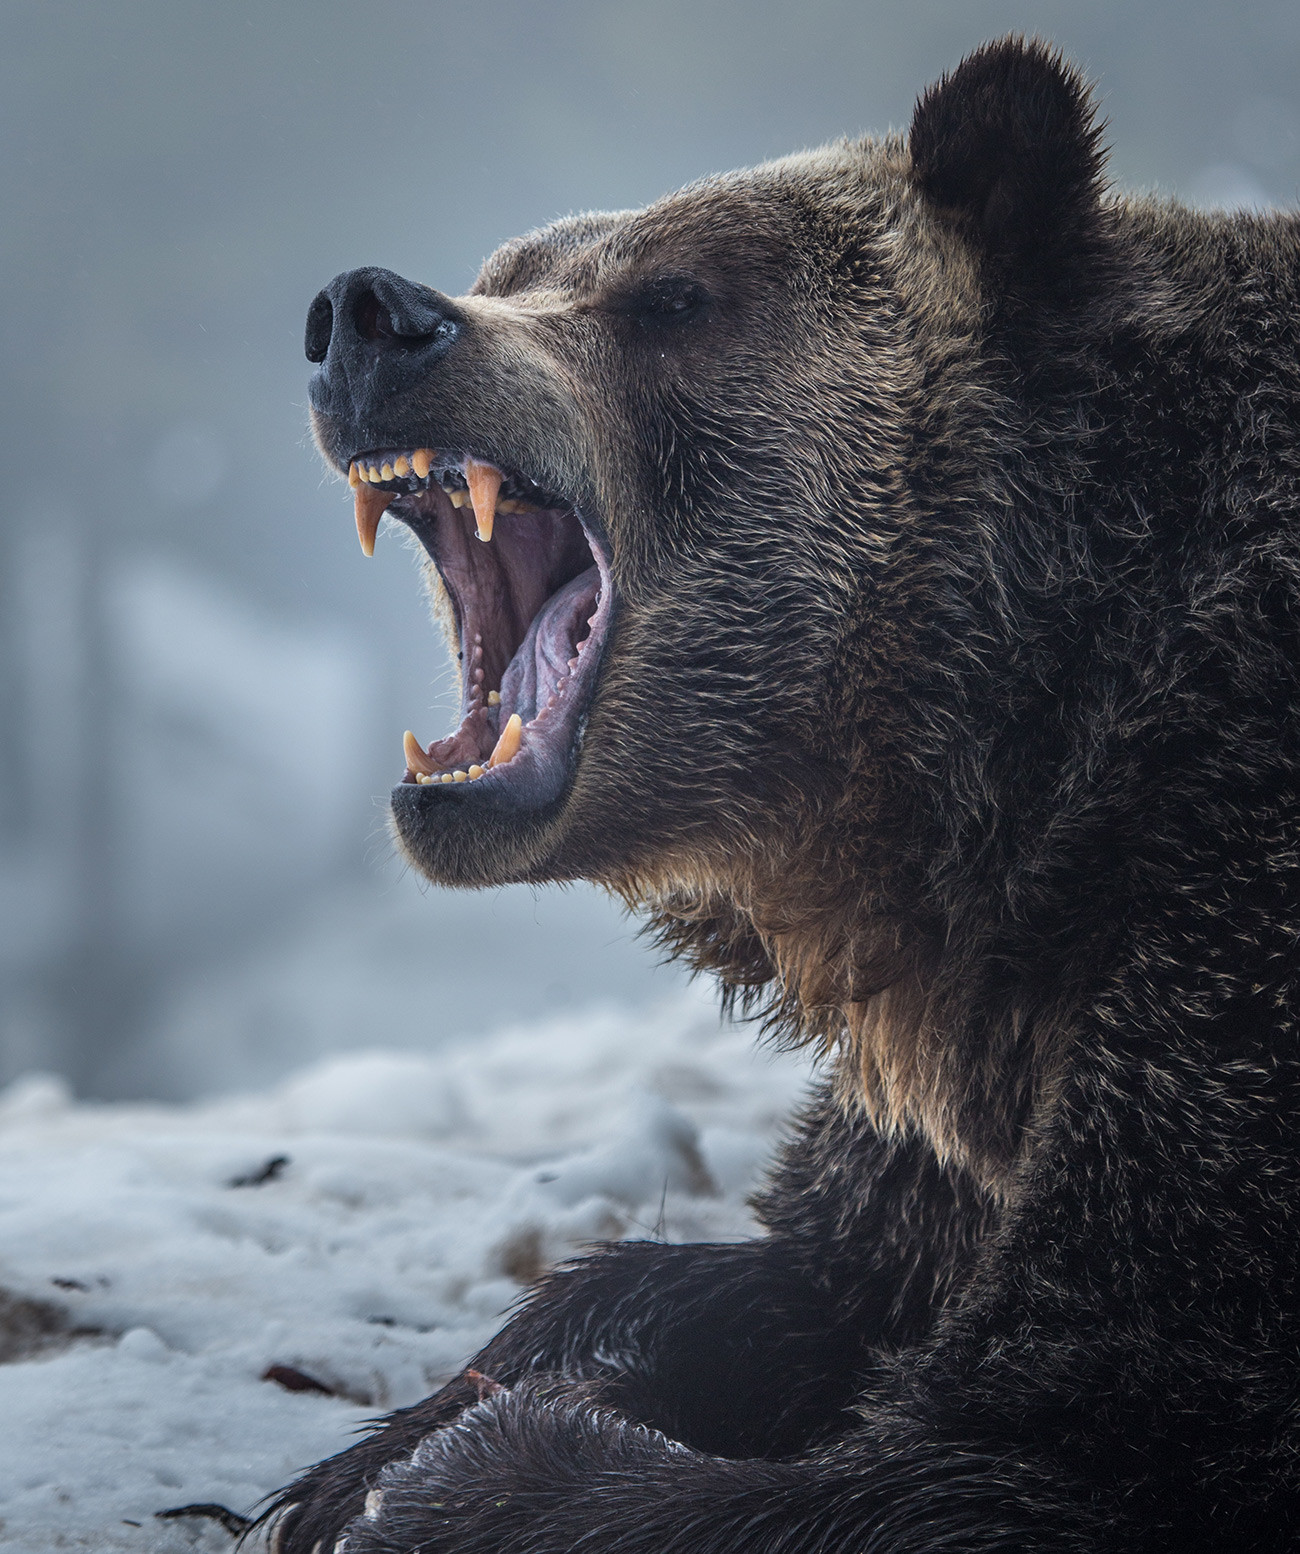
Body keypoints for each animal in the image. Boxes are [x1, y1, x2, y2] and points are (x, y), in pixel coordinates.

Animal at [268, 36, 1292, 1554]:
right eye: (513, 262)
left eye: (673, 297)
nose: (368, 314)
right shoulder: (949, 1074)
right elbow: (799, 1272)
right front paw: (384, 1446)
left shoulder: (1221, 935)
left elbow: (1031, 1433)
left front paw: (458, 1474)